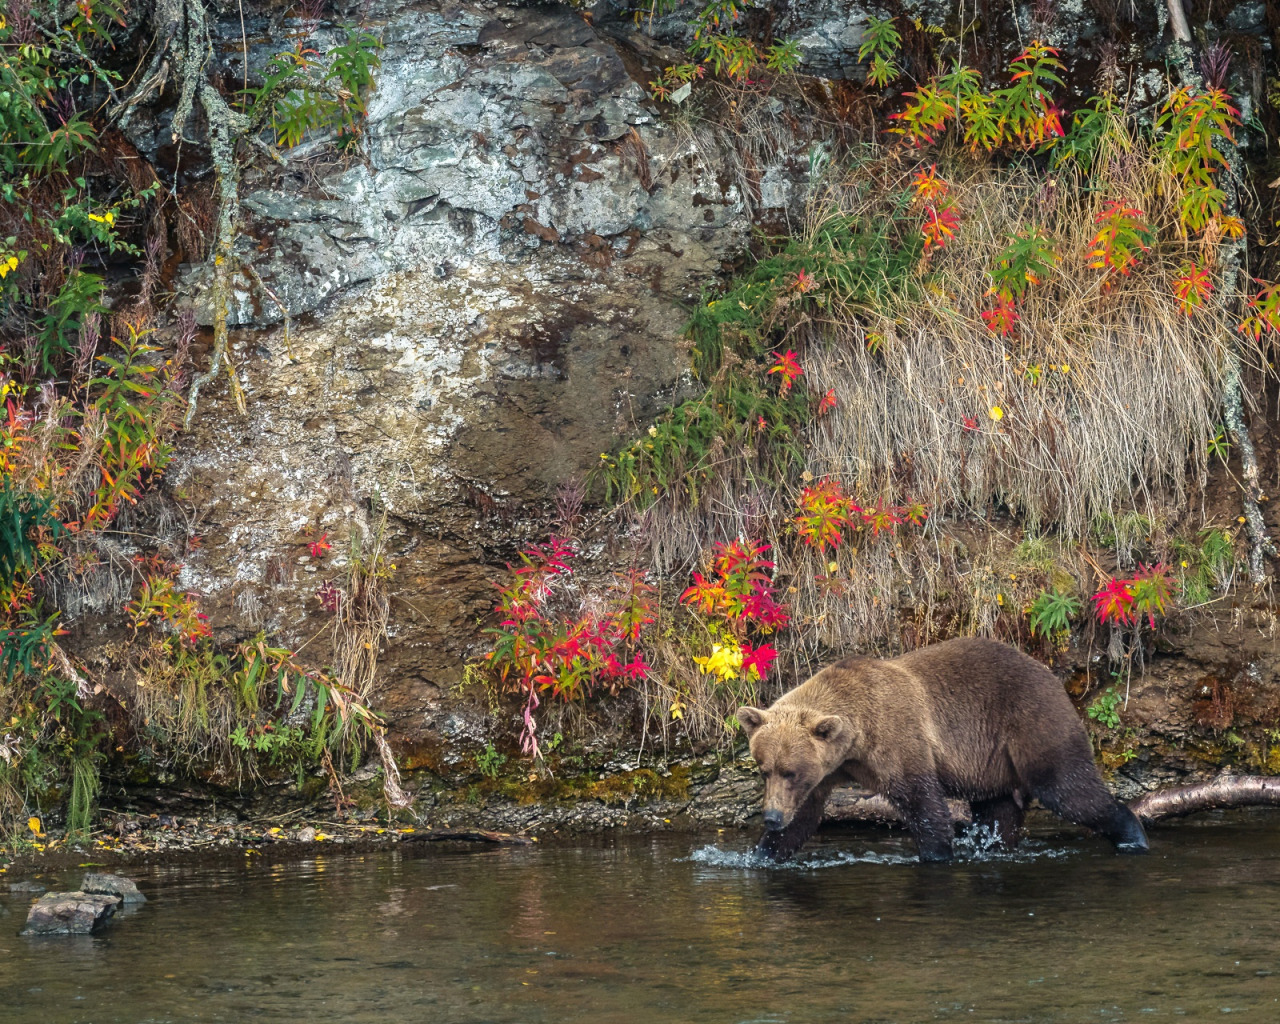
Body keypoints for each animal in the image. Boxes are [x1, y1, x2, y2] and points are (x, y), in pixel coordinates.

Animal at [742, 634, 1152, 860]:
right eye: (765, 770)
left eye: (790, 771)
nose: (770, 816)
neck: (856, 738)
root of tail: (1052, 676)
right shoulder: (829, 769)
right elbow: (804, 816)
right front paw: (762, 854)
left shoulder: (898, 739)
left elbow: (923, 803)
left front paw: (936, 853)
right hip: (994, 764)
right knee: (999, 813)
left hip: (1032, 722)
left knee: (1067, 787)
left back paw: (1132, 835)